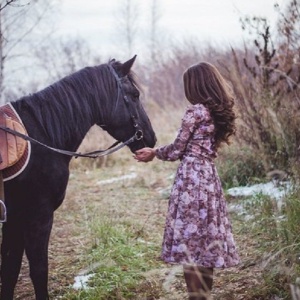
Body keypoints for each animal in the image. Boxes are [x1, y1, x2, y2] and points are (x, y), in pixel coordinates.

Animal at [0, 55, 156, 298]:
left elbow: (9, 272)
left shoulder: (14, 219)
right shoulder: (38, 216)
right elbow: (38, 271)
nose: (151, 138)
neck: (39, 137)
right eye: (135, 95)